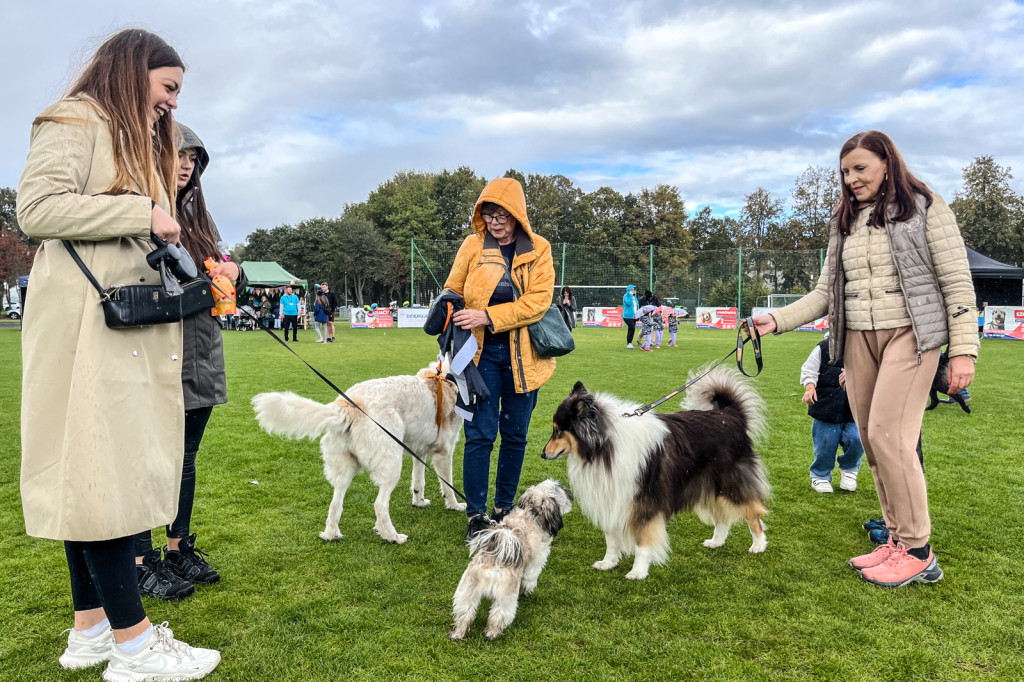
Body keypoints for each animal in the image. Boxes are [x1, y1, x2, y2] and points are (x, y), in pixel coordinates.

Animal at [251, 364, 464, 544]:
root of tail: (347, 405)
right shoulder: (444, 451)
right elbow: (448, 485)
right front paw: (454, 506)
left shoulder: (419, 450)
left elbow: (418, 481)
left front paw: (419, 502)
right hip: (391, 466)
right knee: (380, 505)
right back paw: (392, 536)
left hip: (345, 470)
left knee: (335, 504)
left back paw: (331, 535)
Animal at [450, 477, 573, 638]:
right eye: (561, 488)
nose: (570, 492)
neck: (531, 513)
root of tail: (492, 565)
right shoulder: (535, 564)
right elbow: (529, 580)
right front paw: (527, 591)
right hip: (505, 597)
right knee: (498, 616)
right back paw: (492, 634)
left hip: (467, 591)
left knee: (465, 613)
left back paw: (458, 633)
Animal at [544, 366, 770, 577]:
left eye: (557, 431)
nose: (542, 454)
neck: (603, 448)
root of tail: (730, 414)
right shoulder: (612, 499)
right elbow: (611, 539)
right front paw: (609, 562)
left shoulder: (644, 503)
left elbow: (643, 542)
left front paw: (638, 571)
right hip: (709, 483)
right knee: (722, 516)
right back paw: (716, 541)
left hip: (730, 481)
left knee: (753, 512)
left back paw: (759, 545)